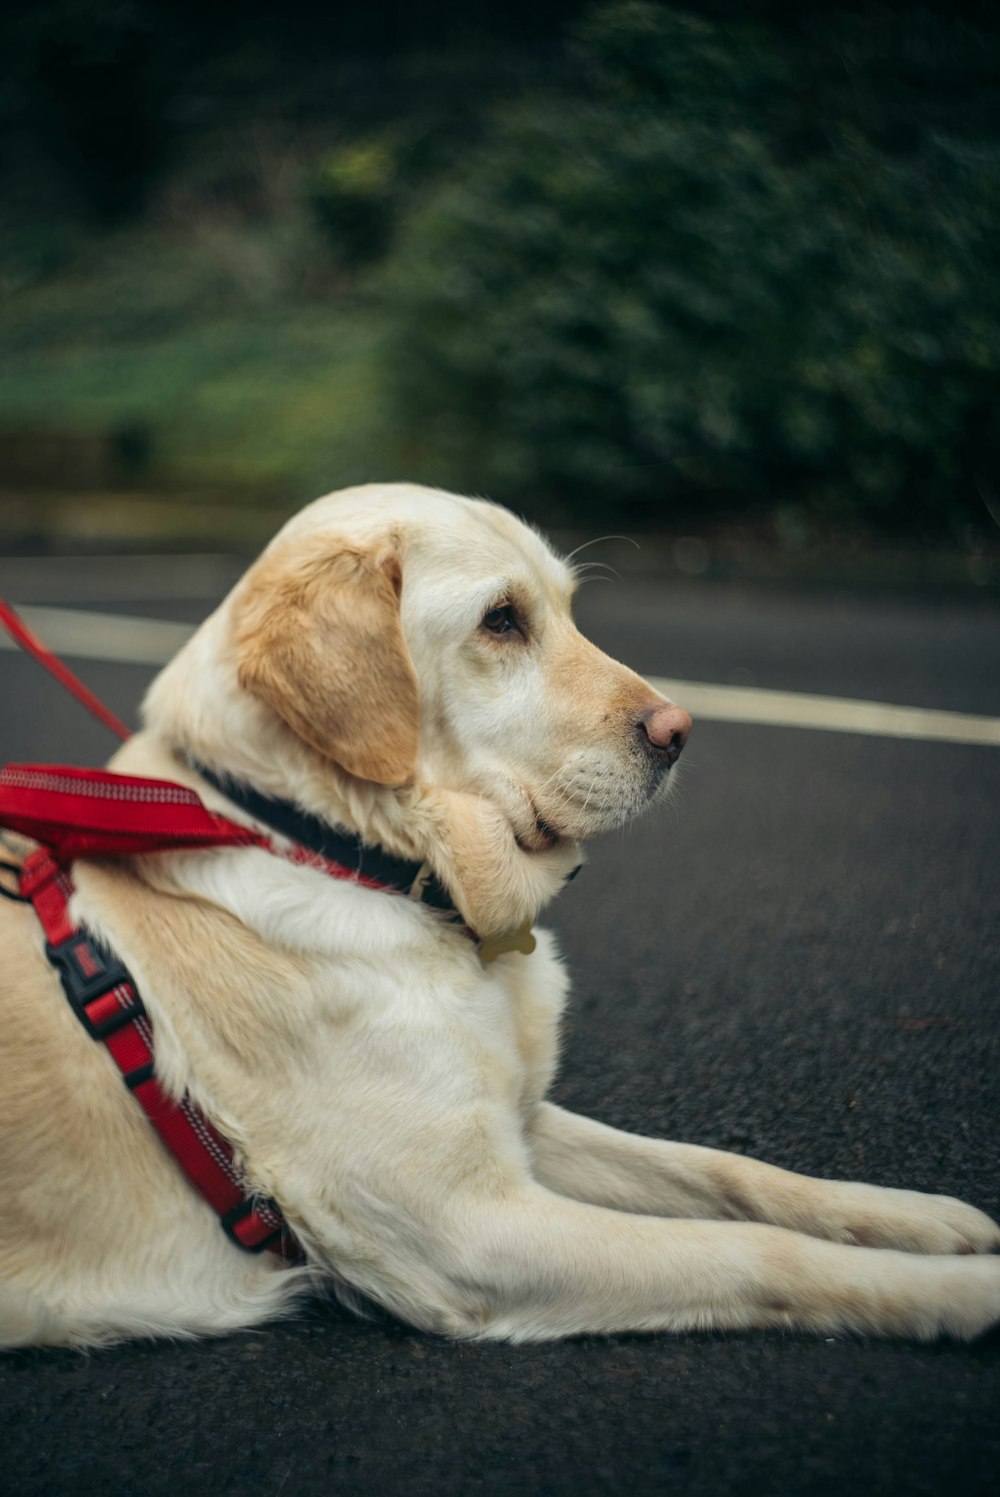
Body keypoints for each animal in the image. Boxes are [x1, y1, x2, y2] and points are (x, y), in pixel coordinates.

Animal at [1, 485, 999, 1353]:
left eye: (565, 608)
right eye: (501, 620)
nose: (680, 732)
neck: (340, 848)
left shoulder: (518, 1125)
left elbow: (729, 1171)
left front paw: (919, 1219)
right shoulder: (464, 1226)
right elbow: (754, 1252)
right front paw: (955, 1290)